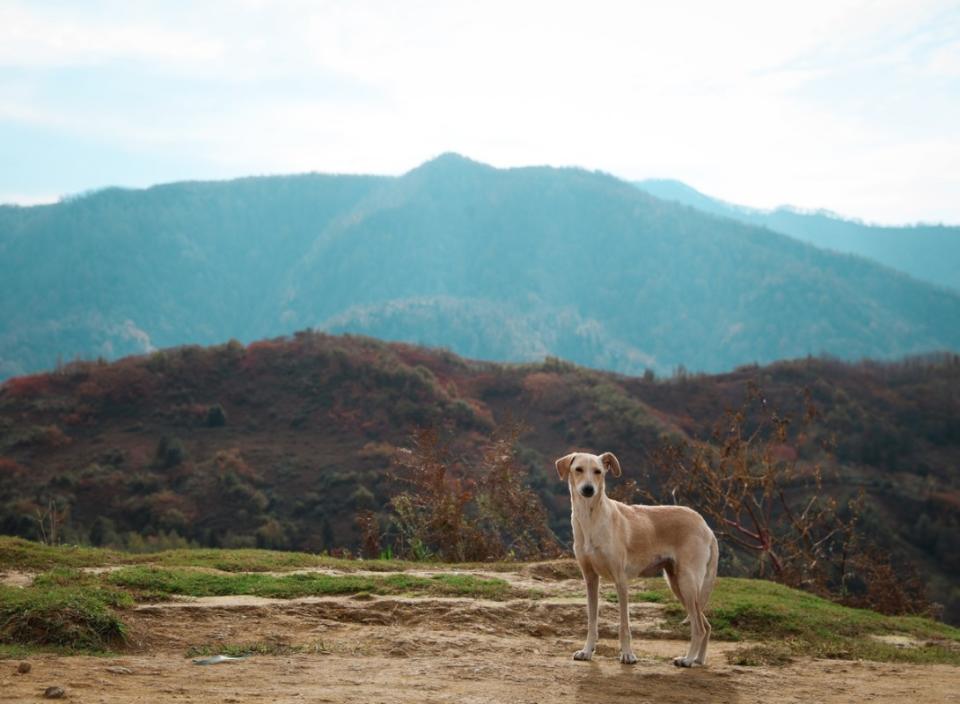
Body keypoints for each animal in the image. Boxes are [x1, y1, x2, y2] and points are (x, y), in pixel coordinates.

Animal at [556, 452, 720, 664]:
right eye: (578, 469)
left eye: (598, 472)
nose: (588, 489)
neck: (591, 518)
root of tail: (705, 526)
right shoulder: (590, 579)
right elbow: (592, 622)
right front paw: (587, 651)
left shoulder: (621, 580)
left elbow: (624, 625)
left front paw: (627, 654)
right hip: (678, 584)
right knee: (705, 625)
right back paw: (698, 660)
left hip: (687, 583)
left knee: (699, 627)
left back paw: (687, 659)